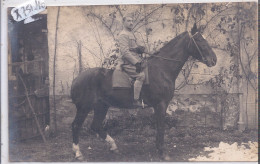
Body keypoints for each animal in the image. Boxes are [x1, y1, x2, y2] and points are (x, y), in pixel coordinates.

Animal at [70, 24, 216, 160]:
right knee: (76, 125)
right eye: (200, 40)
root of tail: (77, 78)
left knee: (95, 126)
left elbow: (158, 126)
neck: (162, 69)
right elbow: (161, 127)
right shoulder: (161, 104)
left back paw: (113, 146)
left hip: (101, 106)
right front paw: (162, 153)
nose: (214, 60)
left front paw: (159, 149)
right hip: (84, 107)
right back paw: (78, 153)